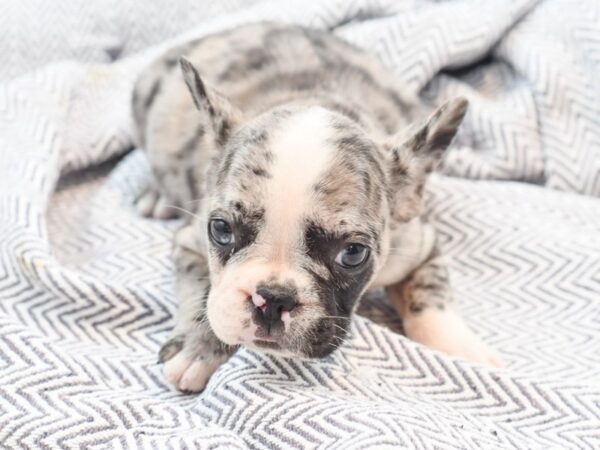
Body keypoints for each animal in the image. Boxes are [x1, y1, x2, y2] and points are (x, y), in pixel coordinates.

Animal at [132, 22, 502, 392]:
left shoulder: (418, 247)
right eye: (221, 230)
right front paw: (197, 347)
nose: (273, 299)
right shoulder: (191, 243)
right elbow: (203, 291)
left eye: (353, 253)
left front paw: (459, 349)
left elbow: (430, 293)